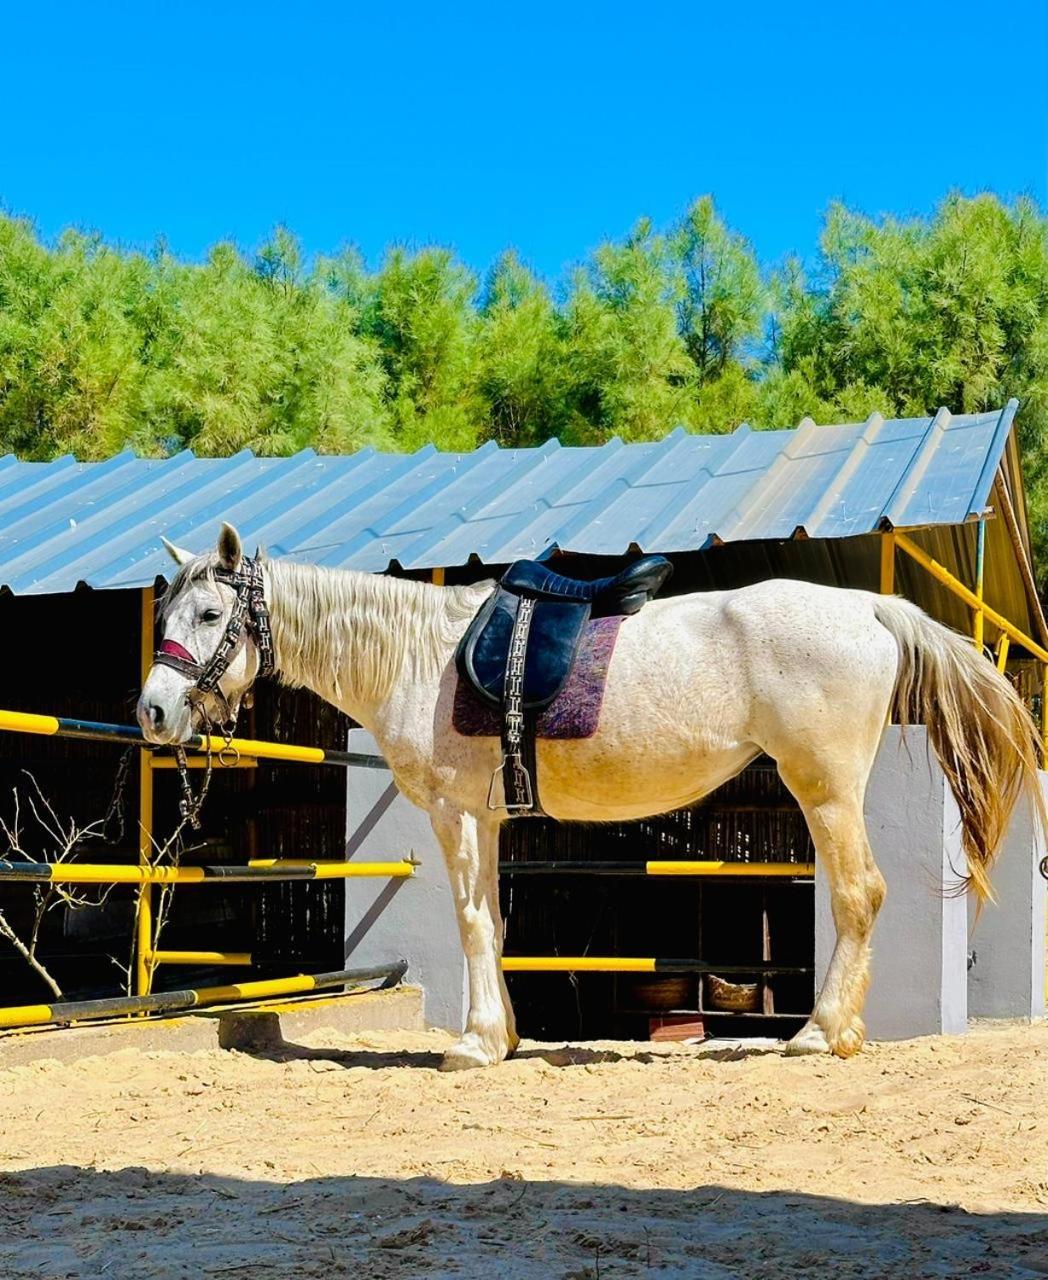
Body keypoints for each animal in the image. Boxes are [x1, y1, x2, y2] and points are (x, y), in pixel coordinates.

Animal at [141, 522, 1048, 1070]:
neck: (418, 653)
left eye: (211, 612)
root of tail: (870, 606)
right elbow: (494, 920)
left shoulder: (455, 814)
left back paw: (820, 1033)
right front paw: (502, 1035)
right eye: (167, 610)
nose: (151, 710)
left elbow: (471, 922)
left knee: (860, 894)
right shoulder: (490, 819)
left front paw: (474, 1045)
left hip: (822, 788)